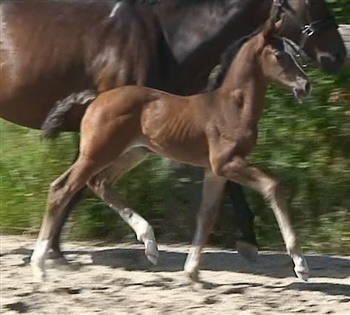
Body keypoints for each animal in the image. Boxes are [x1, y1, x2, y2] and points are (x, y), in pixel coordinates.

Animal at [0, 0, 344, 260]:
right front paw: (54, 249)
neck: (168, 37)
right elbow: (76, 187)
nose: (338, 55)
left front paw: (247, 241)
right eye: (311, 1)